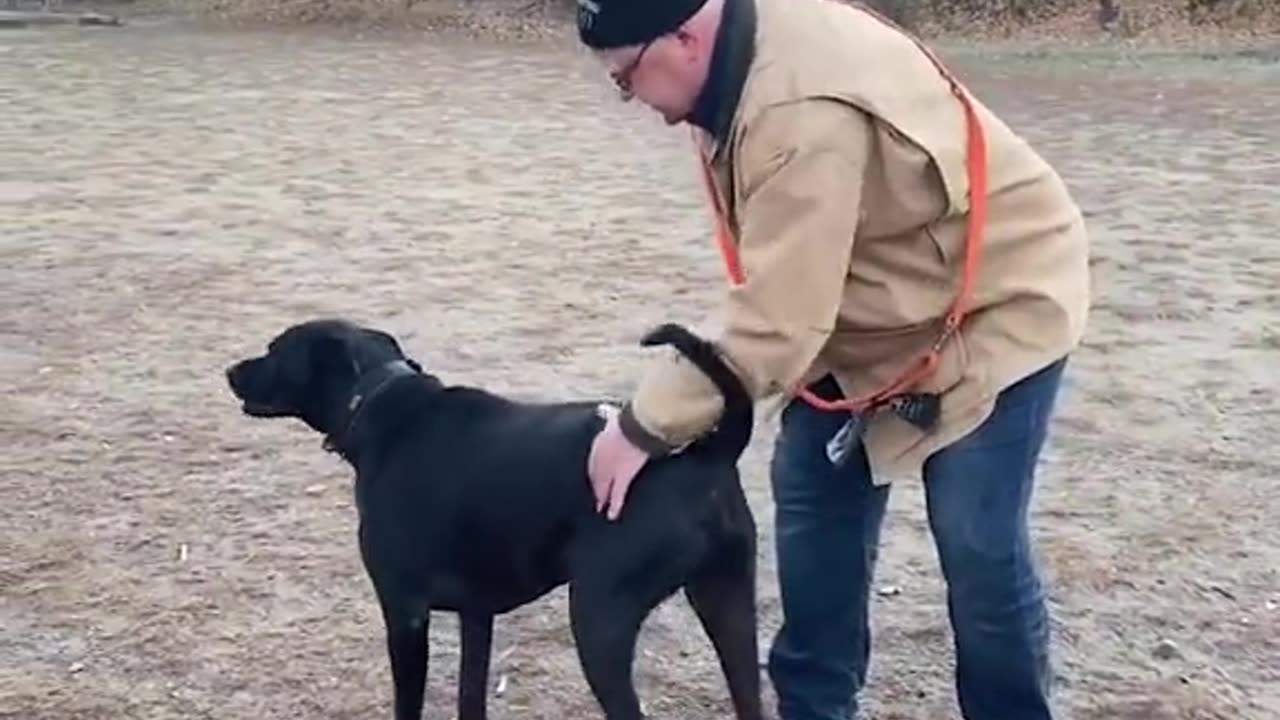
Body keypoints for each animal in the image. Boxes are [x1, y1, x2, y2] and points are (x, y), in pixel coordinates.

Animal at [224, 319, 757, 717]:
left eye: (275, 350)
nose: (230, 370)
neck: (379, 401)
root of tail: (705, 458)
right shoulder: (475, 613)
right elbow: (470, 696)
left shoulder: (404, 612)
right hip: (726, 601)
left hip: (599, 620)